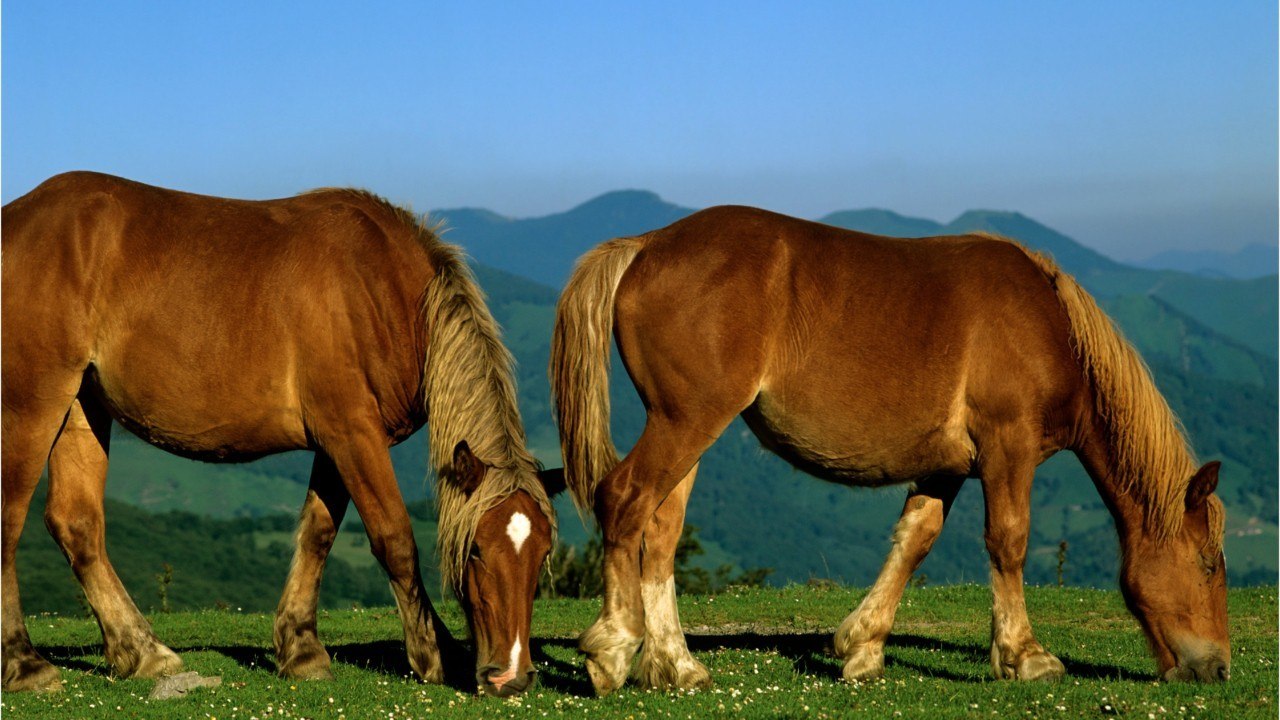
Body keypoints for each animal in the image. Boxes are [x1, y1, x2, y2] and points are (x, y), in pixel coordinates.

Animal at [1, 172, 561, 697]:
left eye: (542, 554)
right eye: (476, 550)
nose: (511, 676)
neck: (380, 289)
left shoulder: (339, 441)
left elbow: (318, 534)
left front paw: (301, 648)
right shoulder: (352, 433)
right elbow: (395, 539)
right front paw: (435, 652)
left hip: (81, 407)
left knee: (77, 525)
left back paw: (142, 651)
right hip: (30, 403)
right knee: (11, 522)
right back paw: (25, 664)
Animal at [550, 205, 1229, 695]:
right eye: (1207, 565)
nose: (1218, 668)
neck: (1049, 327)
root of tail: (647, 243)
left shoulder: (946, 468)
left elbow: (913, 544)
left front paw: (862, 646)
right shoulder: (1007, 449)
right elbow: (1009, 542)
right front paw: (1026, 655)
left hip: (689, 431)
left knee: (660, 533)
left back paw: (677, 665)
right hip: (685, 423)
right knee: (625, 500)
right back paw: (614, 649)